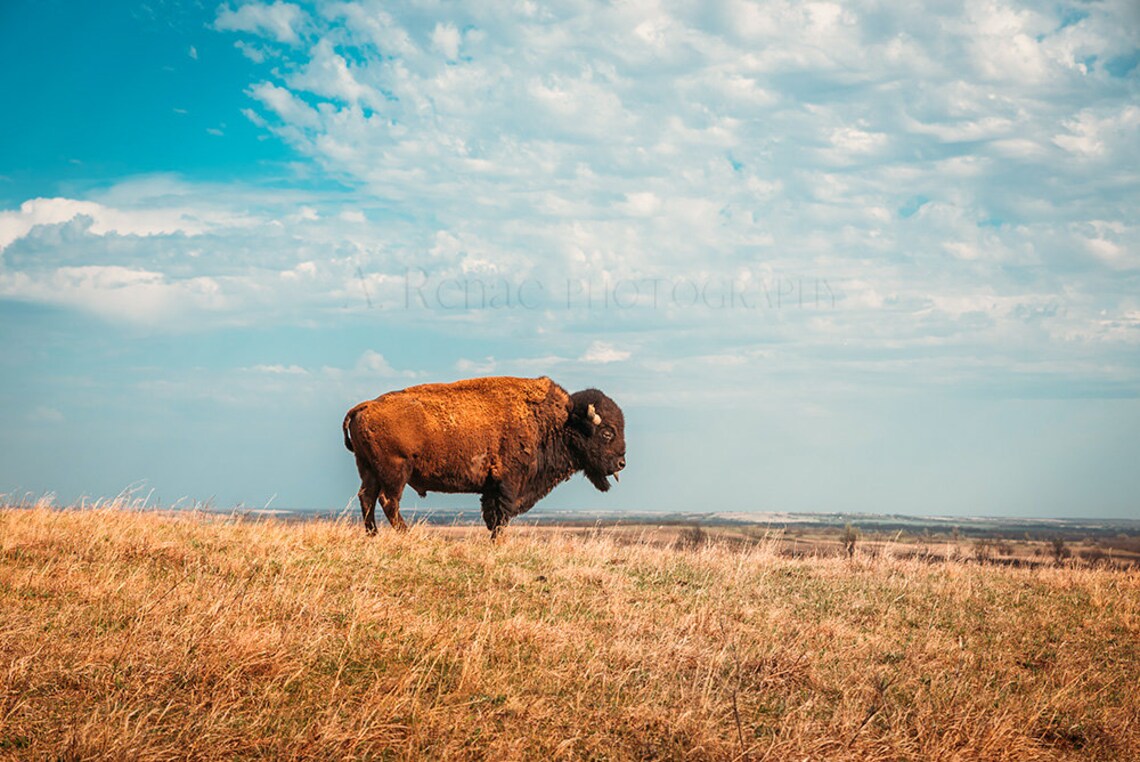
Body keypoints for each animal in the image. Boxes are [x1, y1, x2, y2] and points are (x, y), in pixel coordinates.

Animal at [343, 376, 626, 537]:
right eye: (607, 432)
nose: (622, 462)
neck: (557, 421)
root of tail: (364, 406)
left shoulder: (493, 487)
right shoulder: (507, 483)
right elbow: (499, 518)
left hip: (367, 468)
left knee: (367, 498)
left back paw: (373, 536)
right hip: (395, 471)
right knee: (388, 501)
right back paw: (406, 535)